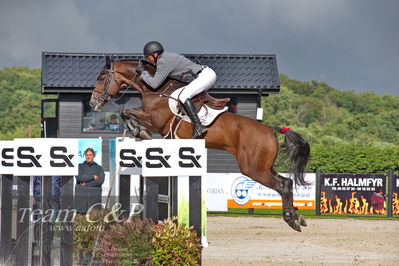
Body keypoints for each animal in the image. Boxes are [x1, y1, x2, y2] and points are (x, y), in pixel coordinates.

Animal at [90, 56, 310, 231]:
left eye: (101, 78)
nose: (93, 102)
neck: (156, 90)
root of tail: (270, 130)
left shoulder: (155, 120)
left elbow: (126, 111)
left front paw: (140, 131)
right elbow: (127, 112)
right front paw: (137, 130)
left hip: (253, 168)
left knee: (281, 185)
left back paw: (291, 219)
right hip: (264, 166)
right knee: (287, 182)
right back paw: (296, 218)